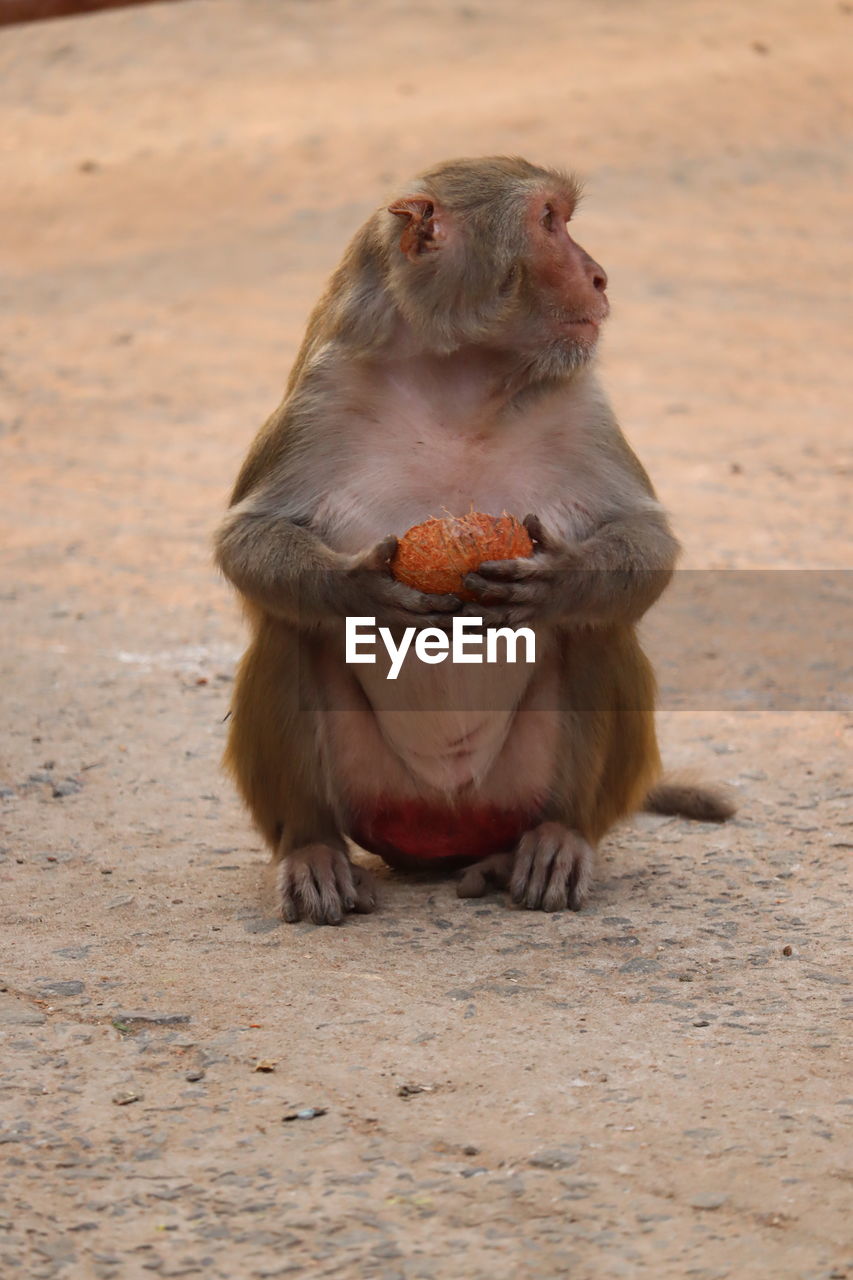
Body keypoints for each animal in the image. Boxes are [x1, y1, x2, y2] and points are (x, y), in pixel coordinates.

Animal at [213, 154, 732, 926]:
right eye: (549, 222)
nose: (600, 276)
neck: (457, 378)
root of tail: (445, 833)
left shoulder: (579, 393)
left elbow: (646, 537)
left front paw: (559, 580)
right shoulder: (320, 393)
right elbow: (248, 537)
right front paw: (363, 592)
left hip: (512, 789)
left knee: (598, 631)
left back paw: (553, 839)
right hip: (376, 789)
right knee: (288, 629)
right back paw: (312, 849)